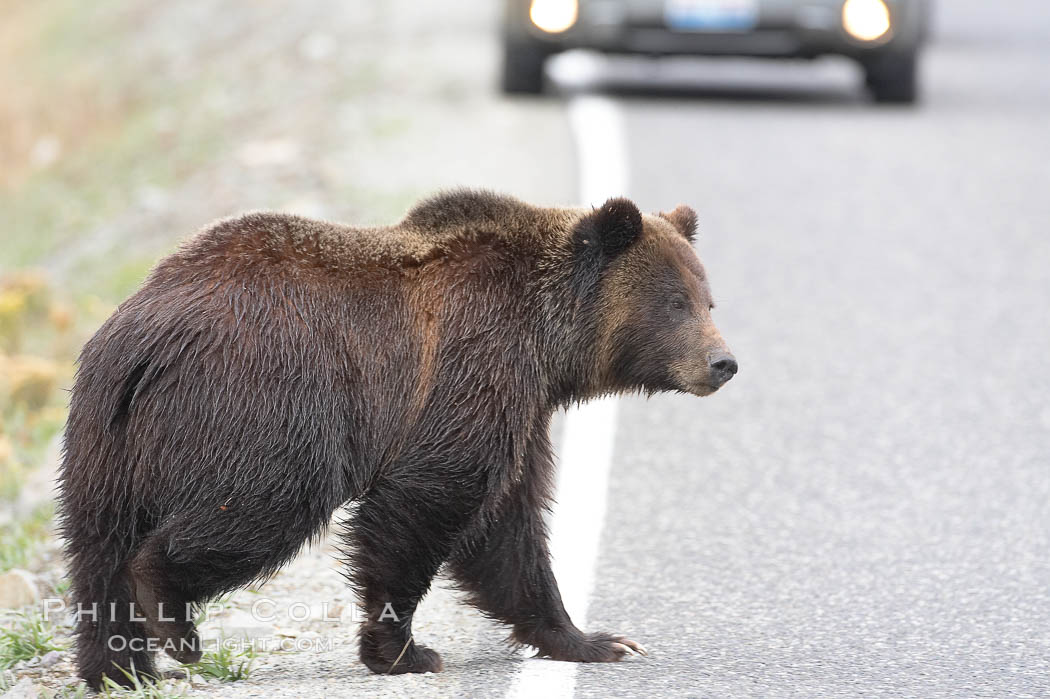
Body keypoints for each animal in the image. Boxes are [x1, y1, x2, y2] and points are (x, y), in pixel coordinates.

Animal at [53, 188, 734, 684]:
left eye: (708, 300)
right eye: (675, 303)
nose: (722, 363)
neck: (546, 345)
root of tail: (148, 335)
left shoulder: (519, 409)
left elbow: (508, 530)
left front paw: (594, 639)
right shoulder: (468, 370)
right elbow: (428, 502)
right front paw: (405, 650)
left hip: (104, 438)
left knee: (98, 547)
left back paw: (119, 666)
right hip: (264, 406)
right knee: (257, 509)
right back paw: (173, 622)